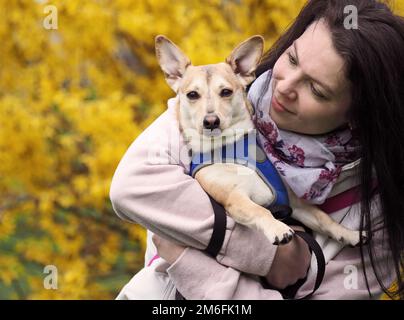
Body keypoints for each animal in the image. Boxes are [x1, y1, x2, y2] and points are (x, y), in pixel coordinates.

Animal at [155, 34, 362, 245]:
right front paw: (278, 228)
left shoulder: (295, 203)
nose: (211, 121)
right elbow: (260, 210)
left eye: (226, 92)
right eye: (192, 95)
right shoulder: (235, 199)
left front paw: (349, 234)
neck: (230, 146)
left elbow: (323, 218)